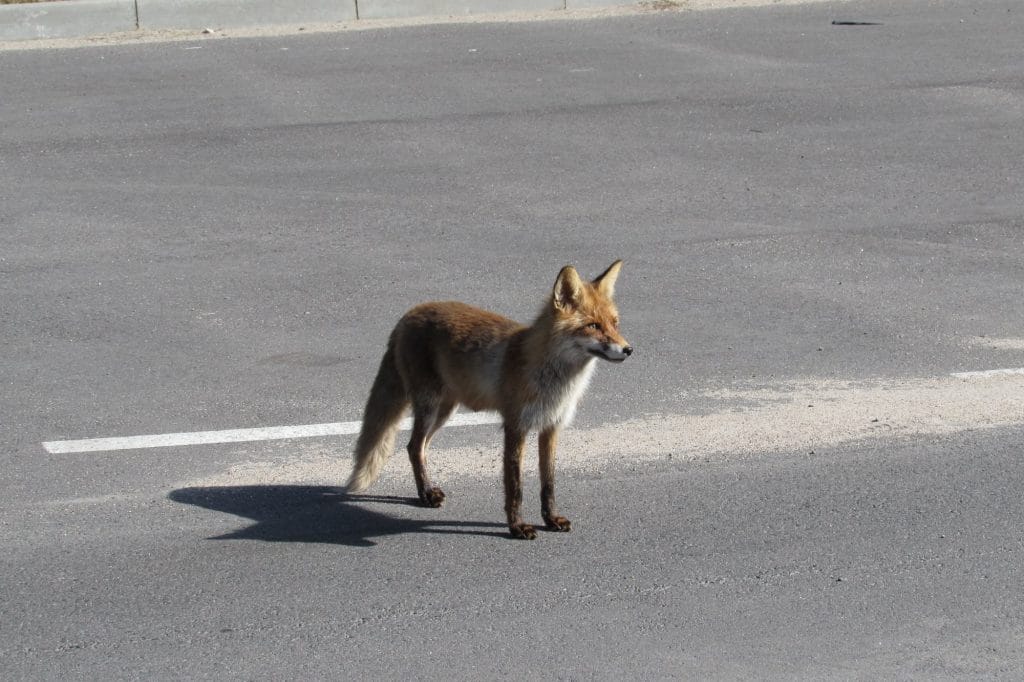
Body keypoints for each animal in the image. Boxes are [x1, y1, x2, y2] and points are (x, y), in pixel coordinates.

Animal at [345, 260, 632, 539]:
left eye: (614, 323)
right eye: (593, 326)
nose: (629, 350)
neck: (553, 380)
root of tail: (410, 313)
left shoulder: (551, 427)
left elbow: (548, 483)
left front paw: (551, 519)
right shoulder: (516, 426)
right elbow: (515, 486)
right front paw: (517, 527)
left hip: (444, 411)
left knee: (418, 447)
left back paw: (426, 490)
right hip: (429, 406)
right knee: (414, 446)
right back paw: (425, 494)